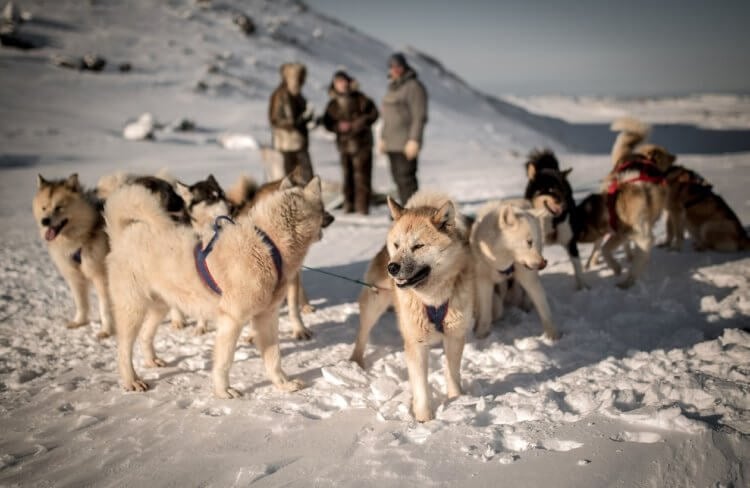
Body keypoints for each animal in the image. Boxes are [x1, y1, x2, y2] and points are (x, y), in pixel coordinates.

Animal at [32, 173, 113, 338]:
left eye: (59, 207)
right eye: (44, 207)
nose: (45, 221)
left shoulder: (100, 277)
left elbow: (104, 307)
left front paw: (106, 330)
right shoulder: (74, 276)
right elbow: (81, 303)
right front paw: (79, 322)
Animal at [106, 175, 328, 396]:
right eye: (321, 207)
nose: (330, 220)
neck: (267, 245)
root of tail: (125, 233)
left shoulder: (266, 318)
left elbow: (274, 358)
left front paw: (283, 385)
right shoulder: (232, 320)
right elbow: (225, 362)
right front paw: (224, 391)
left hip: (161, 306)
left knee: (145, 336)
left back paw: (152, 361)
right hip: (133, 310)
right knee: (123, 351)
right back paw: (132, 381)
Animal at [472, 198, 560, 340]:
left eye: (535, 242)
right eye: (529, 242)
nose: (543, 264)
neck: (504, 263)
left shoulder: (528, 278)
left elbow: (544, 309)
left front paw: (552, 336)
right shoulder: (484, 282)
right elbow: (485, 313)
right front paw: (481, 334)